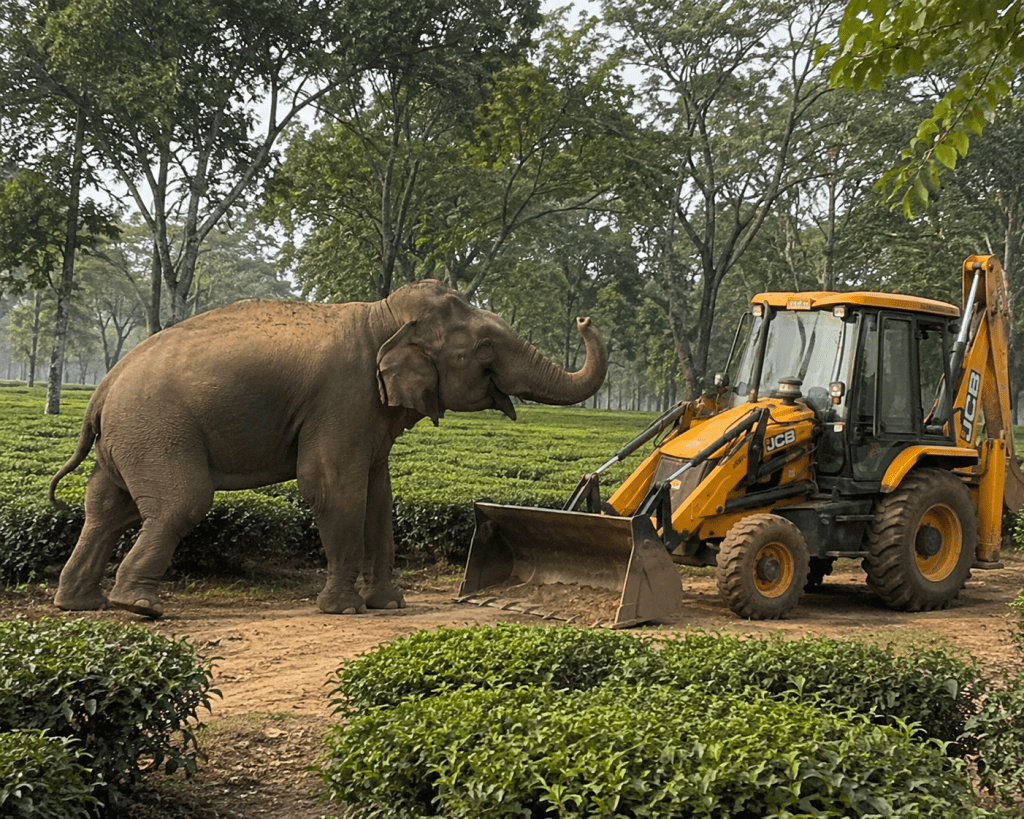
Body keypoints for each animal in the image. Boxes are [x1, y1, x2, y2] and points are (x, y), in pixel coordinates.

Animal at [49, 279, 607, 618]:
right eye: (486, 348)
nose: (585, 319)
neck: (382, 315)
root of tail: (102, 388)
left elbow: (379, 496)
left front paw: (390, 604)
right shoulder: (342, 397)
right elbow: (332, 486)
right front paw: (344, 609)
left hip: (128, 439)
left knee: (107, 508)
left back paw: (80, 603)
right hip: (156, 430)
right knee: (179, 503)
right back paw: (140, 606)